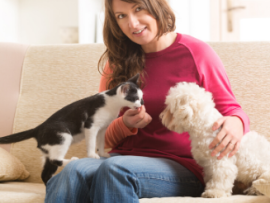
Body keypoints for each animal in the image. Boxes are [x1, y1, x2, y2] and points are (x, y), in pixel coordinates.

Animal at [0, 73, 143, 185]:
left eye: (141, 99)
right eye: (135, 98)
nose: (141, 104)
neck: (112, 104)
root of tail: (38, 128)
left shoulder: (103, 129)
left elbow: (101, 142)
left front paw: (102, 153)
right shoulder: (91, 125)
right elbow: (92, 142)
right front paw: (92, 155)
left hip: (49, 149)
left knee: (46, 171)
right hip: (62, 135)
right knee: (55, 159)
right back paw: (72, 160)